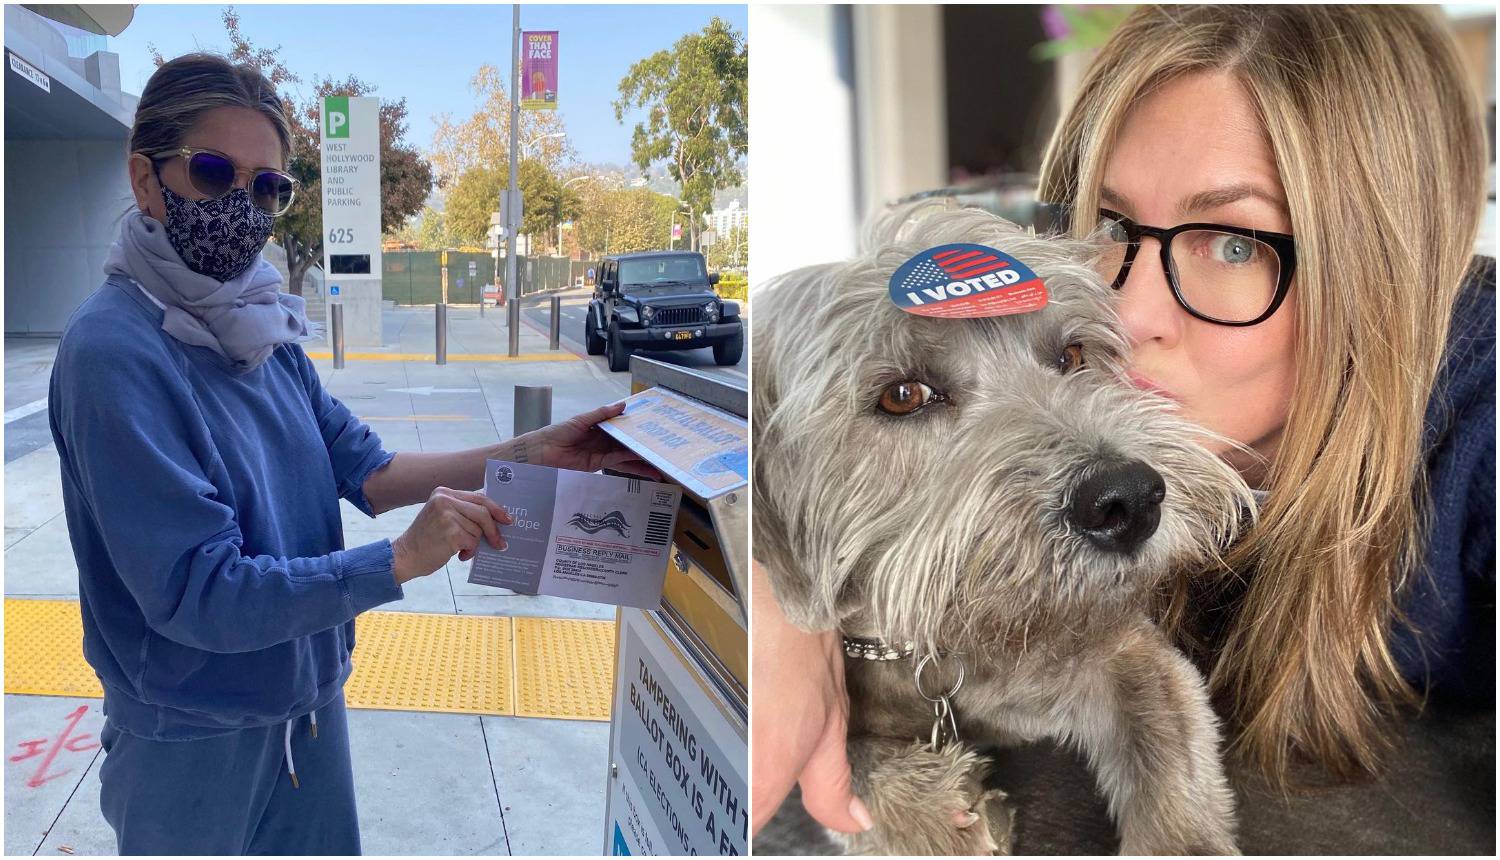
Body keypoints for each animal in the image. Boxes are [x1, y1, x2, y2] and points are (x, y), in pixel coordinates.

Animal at [750, 201, 1254, 852]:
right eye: (902, 394)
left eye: (1072, 356)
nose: (1129, 498)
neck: (935, 648)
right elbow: (849, 765)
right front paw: (929, 812)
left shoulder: (1120, 653)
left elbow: (1163, 739)